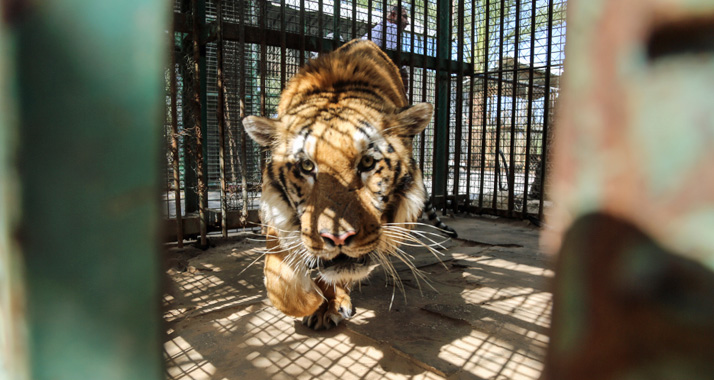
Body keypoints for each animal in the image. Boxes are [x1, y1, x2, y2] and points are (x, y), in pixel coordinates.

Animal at [245, 38, 454, 330]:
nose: (338, 238)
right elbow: (280, 284)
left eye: (367, 162)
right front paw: (311, 299)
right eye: (307, 166)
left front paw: (325, 303)